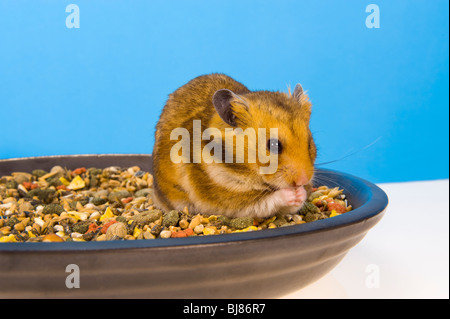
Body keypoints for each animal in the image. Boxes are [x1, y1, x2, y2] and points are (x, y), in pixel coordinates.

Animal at [151, 74, 316, 219]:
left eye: (309, 143)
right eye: (273, 145)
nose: (303, 180)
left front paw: (301, 192)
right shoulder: (226, 197)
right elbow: (266, 201)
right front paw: (292, 193)